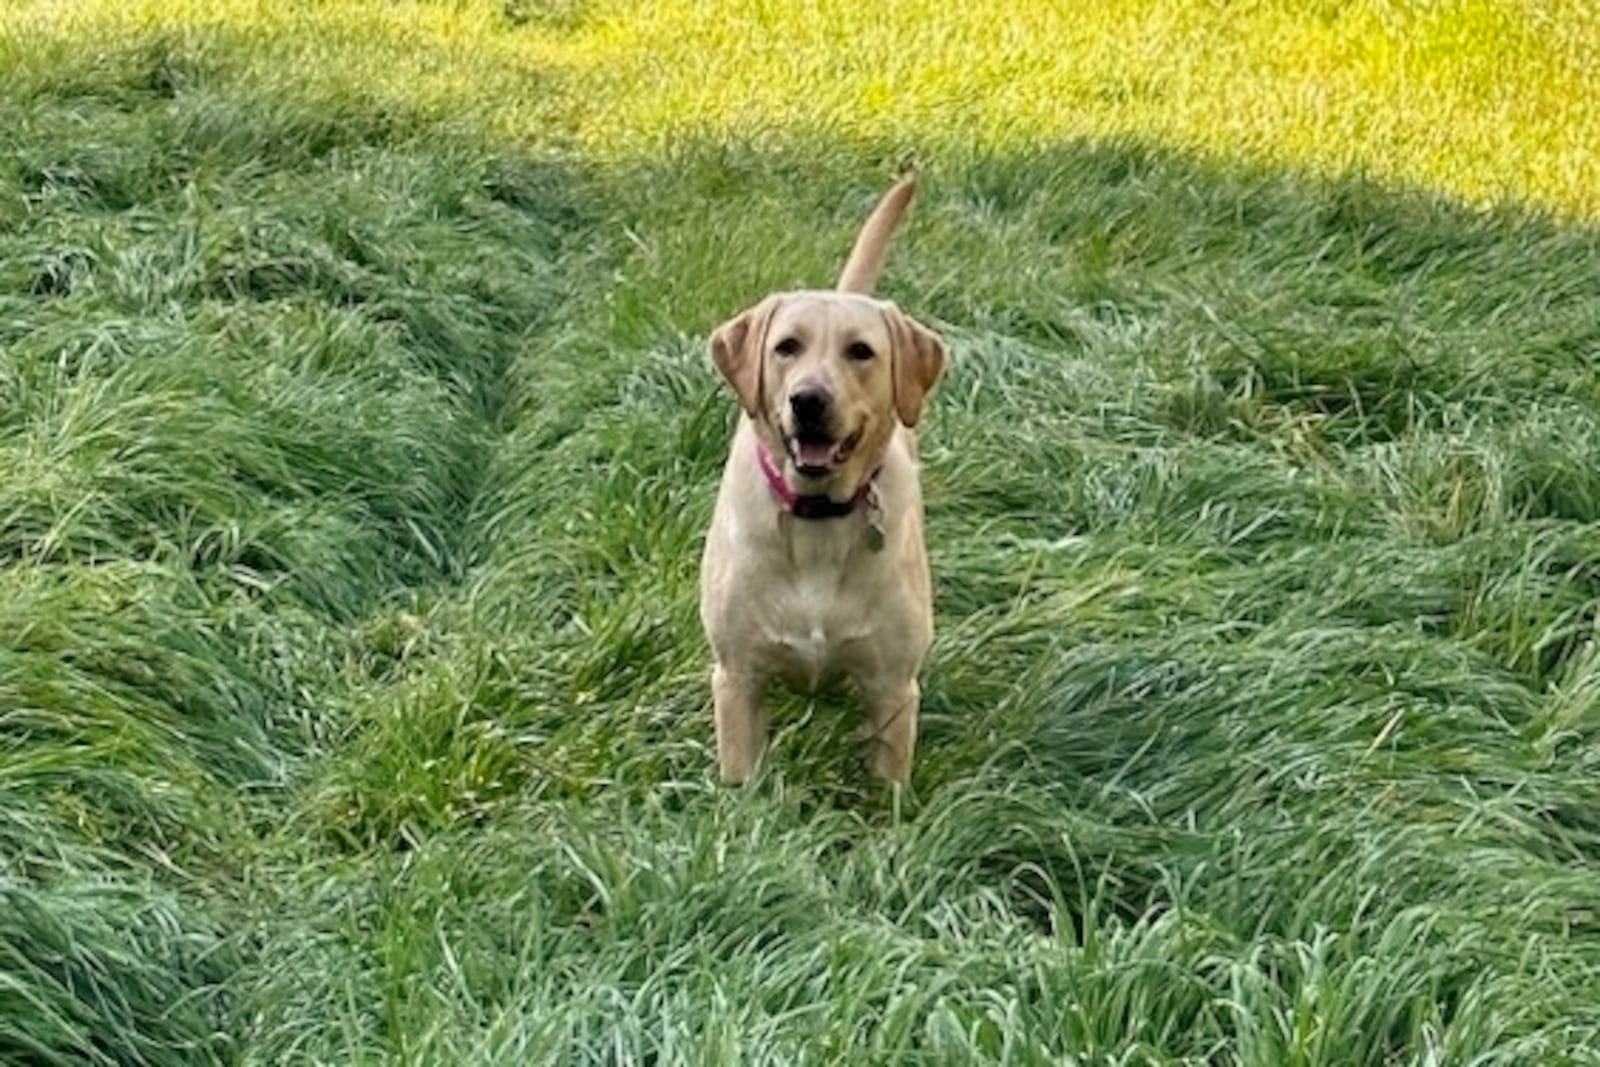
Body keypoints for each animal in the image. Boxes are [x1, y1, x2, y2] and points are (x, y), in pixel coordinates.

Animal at [704, 179, 947, 783]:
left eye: (861, 351)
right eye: (786, 346)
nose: (808, 400)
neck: (815, 516)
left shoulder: (893, 691)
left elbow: (887, 787)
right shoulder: (737, 680)